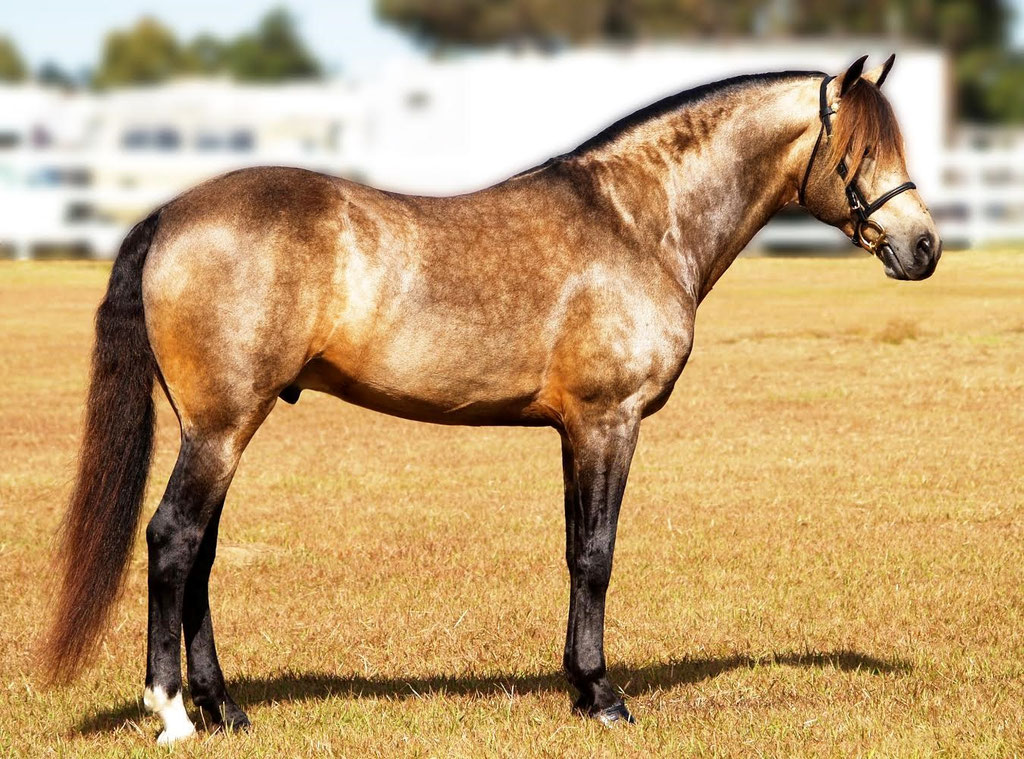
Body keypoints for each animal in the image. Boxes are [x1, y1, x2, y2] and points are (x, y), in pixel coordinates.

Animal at [44, 55, 940, 743]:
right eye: (858, 149)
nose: (923, 245)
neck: (637, 222)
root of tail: (170, 213)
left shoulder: (575, 429)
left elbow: (576, 550)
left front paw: (579, 687)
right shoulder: (608, 421)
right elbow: (596, 555)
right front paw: (604, 697)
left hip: (222, 428)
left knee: (198, 553)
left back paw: (225, 707)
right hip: (221, 427)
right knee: (172, 539)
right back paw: (173, 712)